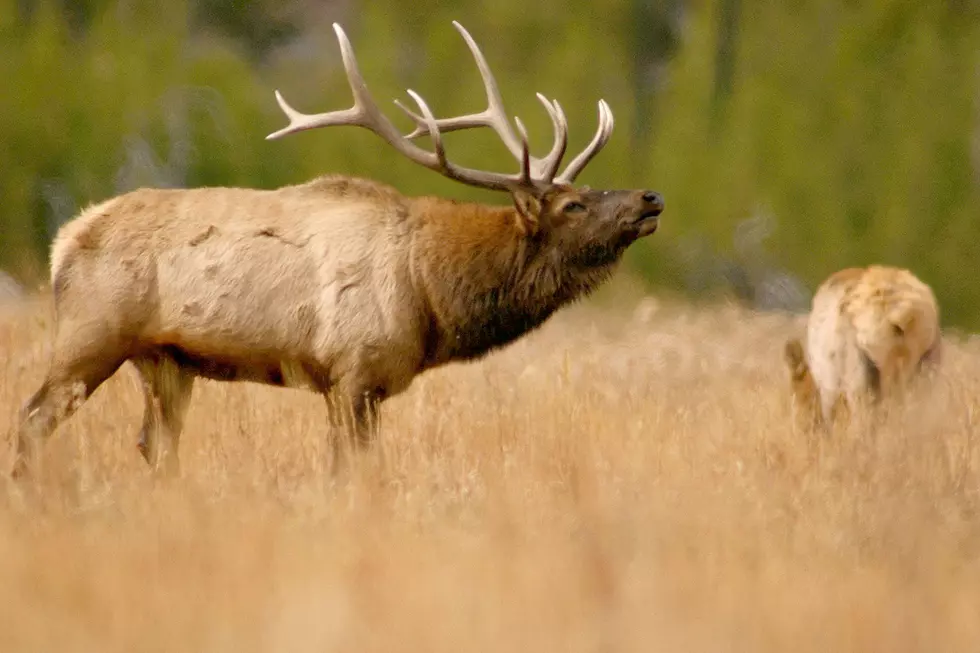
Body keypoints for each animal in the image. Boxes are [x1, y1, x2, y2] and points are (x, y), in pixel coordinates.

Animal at [10, 21, 665, 479]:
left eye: (587, 190)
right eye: (572, 205)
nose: (650, 197)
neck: (430, 294)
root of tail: (63, 242)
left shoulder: (364, 386)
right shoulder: (351, 372)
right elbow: (351, 471)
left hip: (164, 361)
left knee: (154, 444)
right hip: (92, 335)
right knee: (33, 419)